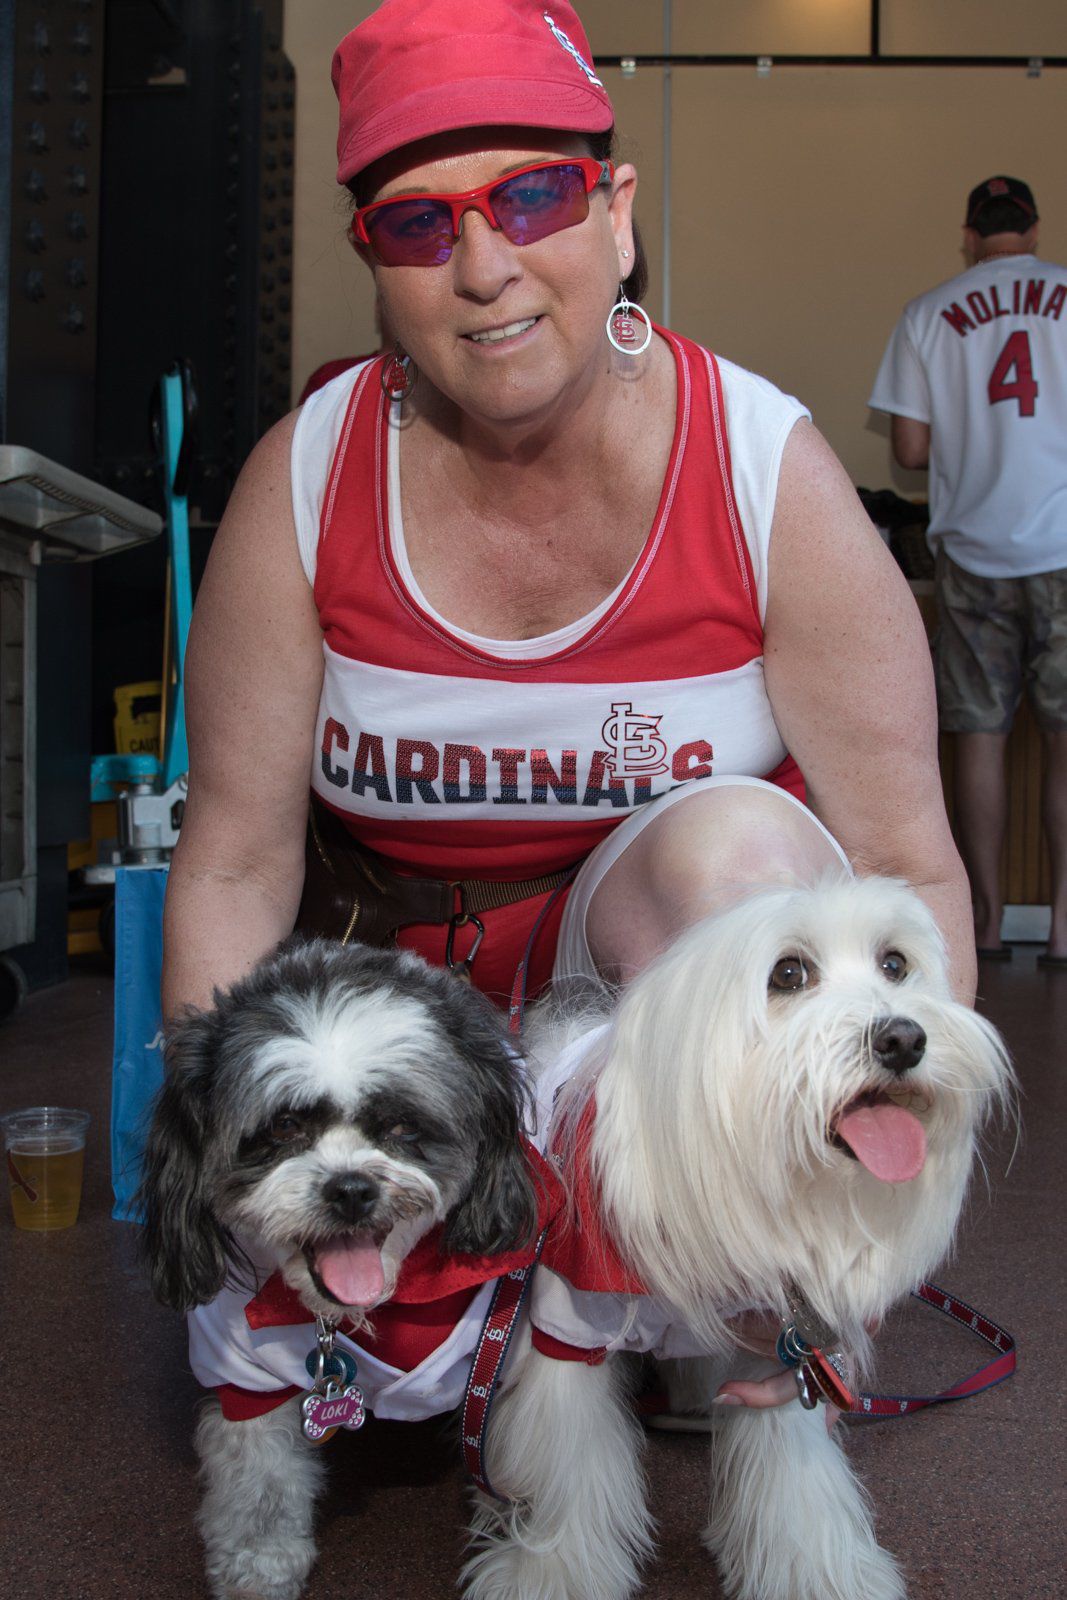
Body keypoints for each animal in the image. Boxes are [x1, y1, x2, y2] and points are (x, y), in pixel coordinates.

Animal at [470, 876, 1017, 1600]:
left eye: (895, 965)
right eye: (787, 974)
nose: (903, 1038)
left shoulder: (781, 1349)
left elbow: (792, 1478)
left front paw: (816, 1568)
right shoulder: (568, 1323)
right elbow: (566, 1466)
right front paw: (553, 1570)